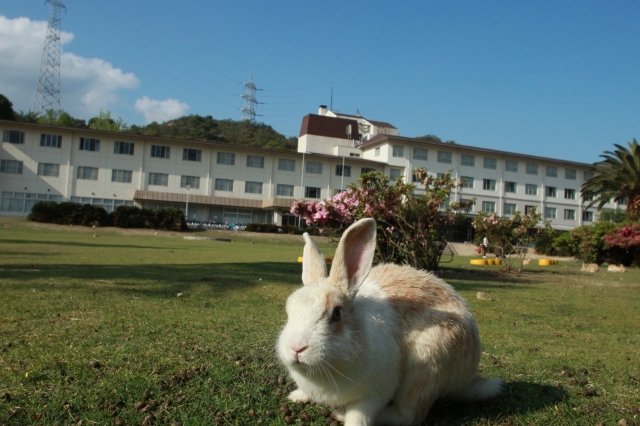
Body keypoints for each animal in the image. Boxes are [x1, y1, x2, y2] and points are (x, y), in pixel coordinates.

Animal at [278, 218, 502, 424]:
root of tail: (467, 377)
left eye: (336, 314)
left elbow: (360, 416)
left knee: (408, 415)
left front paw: (346, 417)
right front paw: (297, 395)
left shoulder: (373, 394)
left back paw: (346, 413)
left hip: (427, 364)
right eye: (289, 309)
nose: (296, 348)